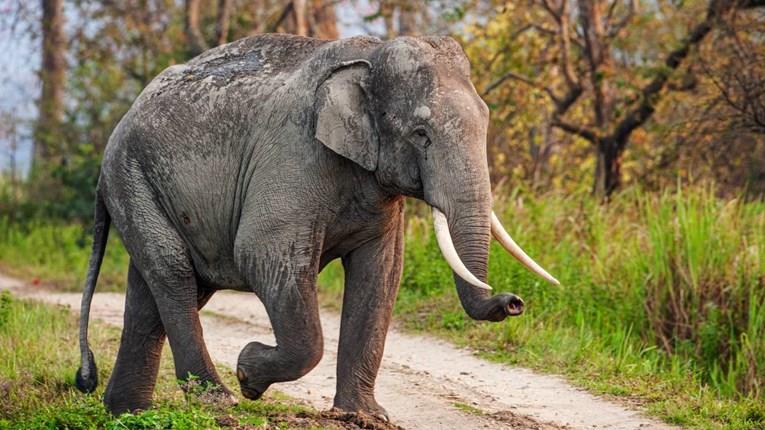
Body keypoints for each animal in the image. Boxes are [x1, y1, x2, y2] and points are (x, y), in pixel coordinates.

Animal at [75, 33, 559, 419]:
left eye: (487, 120)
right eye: (421, 134)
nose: (514, 301)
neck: (370, 57)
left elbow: (381, 275)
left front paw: (365, 418)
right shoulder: (294, 157)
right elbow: (262, 254)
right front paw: (249, 373)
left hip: (143, 186)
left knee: (158, 290)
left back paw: (127, 412)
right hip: (130, 176)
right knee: (175, 275)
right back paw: (217, 401)